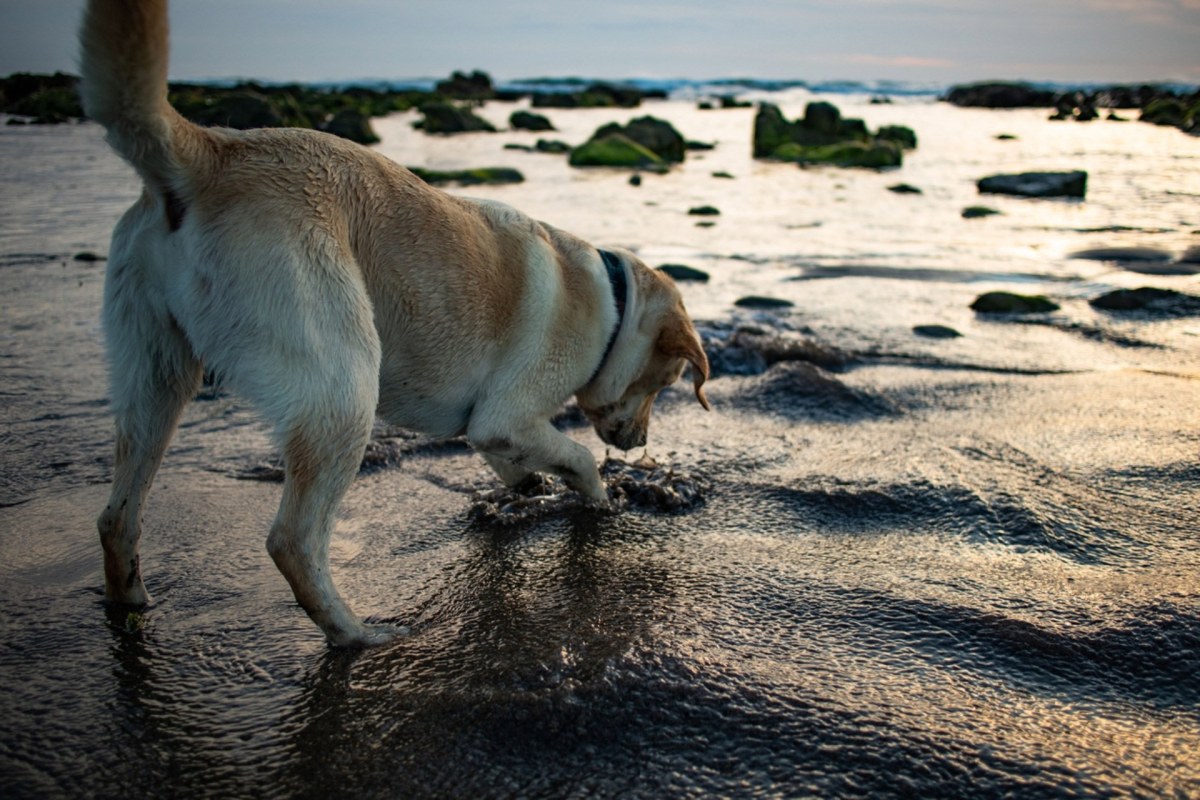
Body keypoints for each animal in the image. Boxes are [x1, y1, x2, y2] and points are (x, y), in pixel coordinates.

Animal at [79, 0, 710, 642]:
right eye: (663, 384)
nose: (641, 443)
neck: (612, 301)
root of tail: (209, 153)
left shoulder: (492, 423)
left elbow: (505, 448)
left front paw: (528, 483)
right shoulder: (509, 413)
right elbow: (576, 455)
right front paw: (600, 499)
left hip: (155, 377)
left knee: (117, 515)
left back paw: (130, 601)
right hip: (341, 388)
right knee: (293, 540)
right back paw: (357, 635)